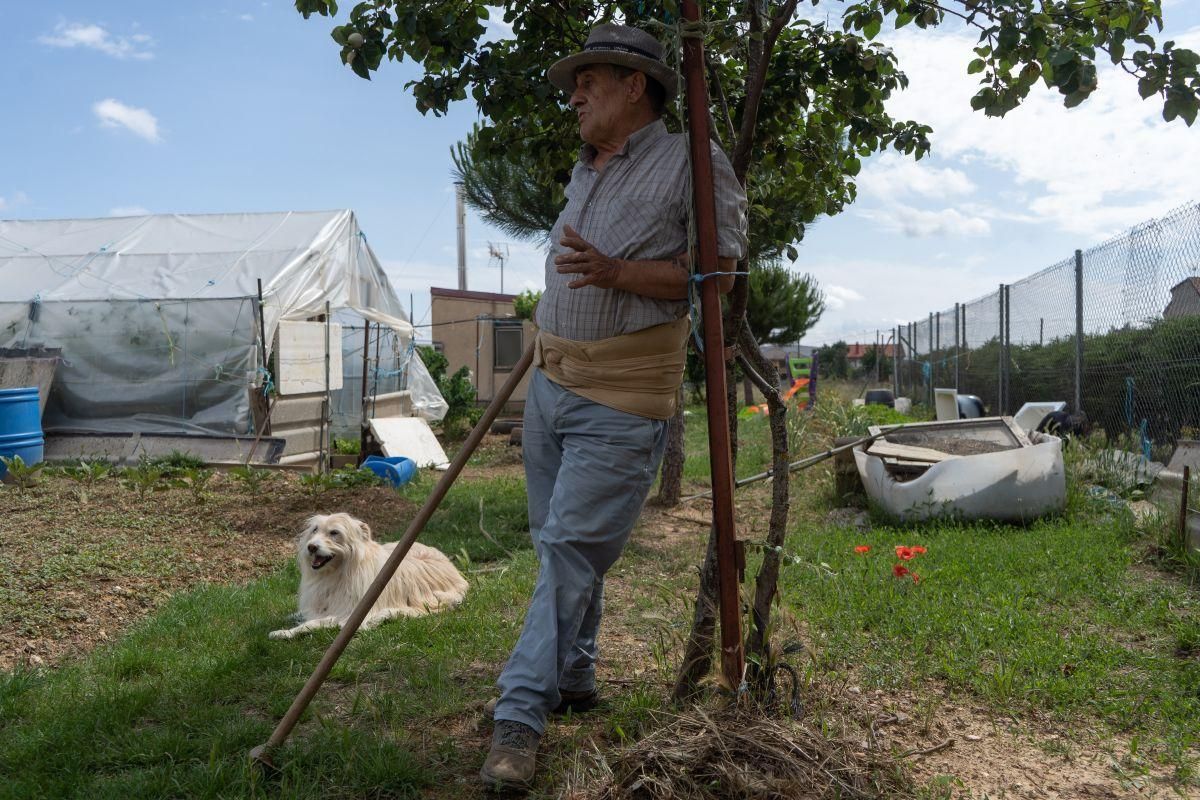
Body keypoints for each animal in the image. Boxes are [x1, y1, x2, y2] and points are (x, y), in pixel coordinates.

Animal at [268, 515, 468, 642]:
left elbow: (313, 623)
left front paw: (285, 632)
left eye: (334, 533)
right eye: (314, 530)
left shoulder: (348, 615)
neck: (339, 572)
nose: (311, 547)